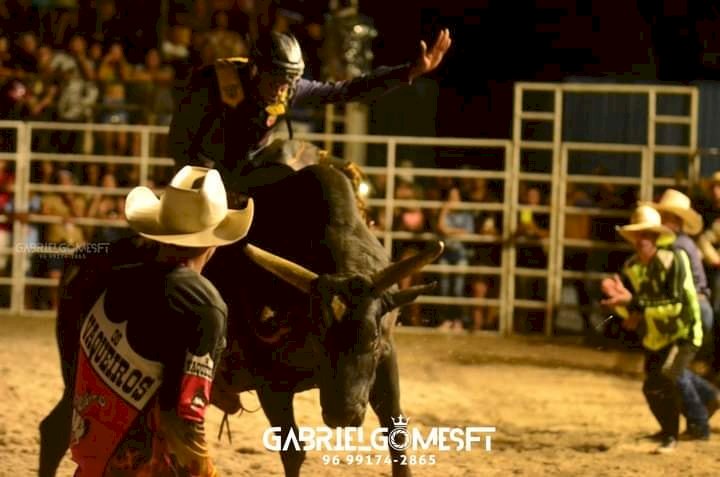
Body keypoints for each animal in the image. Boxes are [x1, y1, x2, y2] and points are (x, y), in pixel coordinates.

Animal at [39, 147, 444, 474]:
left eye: (372, 340)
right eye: (319, 333)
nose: (343, 415)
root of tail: (80, 262)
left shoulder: (385, 361)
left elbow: (397, 434)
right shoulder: (271, 384)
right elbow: (293, 451)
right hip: (75, 367)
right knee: (59, 430)